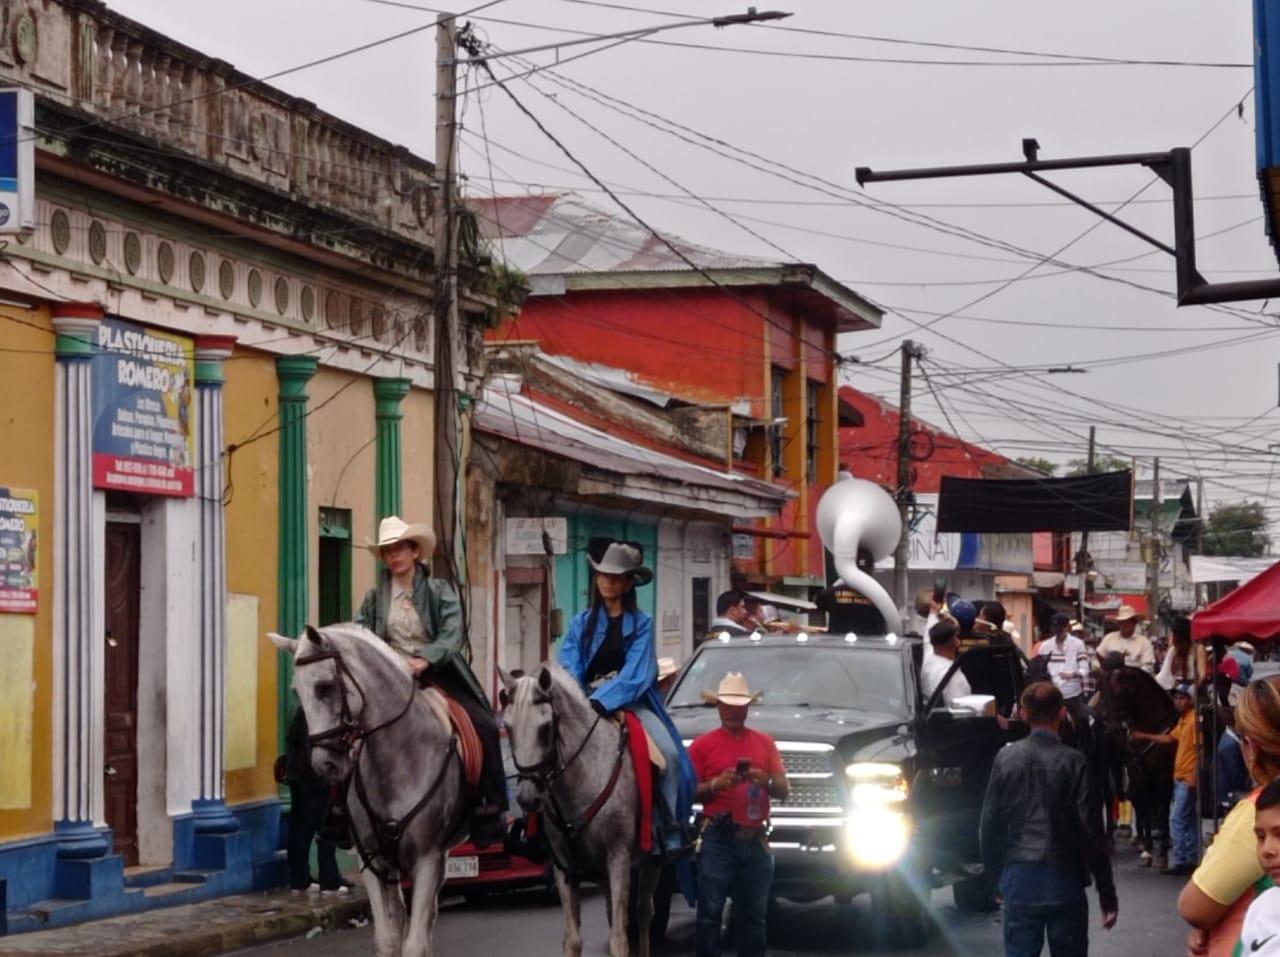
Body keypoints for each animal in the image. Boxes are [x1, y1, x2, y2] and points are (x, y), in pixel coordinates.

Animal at [270, 621, 471, 957]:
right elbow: (388, 939)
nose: (324, 764)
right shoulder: (373, 861)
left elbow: (414, 943)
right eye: (296, 691)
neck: (398, 758)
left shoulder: (427, 859)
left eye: (325, 687)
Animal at [499, 660, 660, 957]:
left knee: (644, 911)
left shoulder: (618, 859)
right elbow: (573, 939)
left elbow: (620, 939)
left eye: (546, 727)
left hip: (650, 861)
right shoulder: (565, 868)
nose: (527, 797)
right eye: (508, 726)